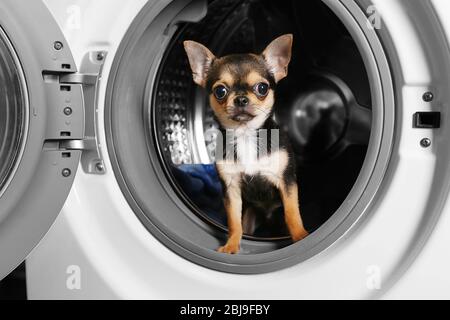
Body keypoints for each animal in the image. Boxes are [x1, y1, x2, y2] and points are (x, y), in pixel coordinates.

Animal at [185, 33, 308, 252]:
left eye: (262, 88)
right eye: (220, 91)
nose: (241, 99)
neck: (245, 134)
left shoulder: (287, 182)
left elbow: (292, 213)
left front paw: (301, 237)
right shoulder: (231, 189)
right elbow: (234, 222)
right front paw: (231, 246)